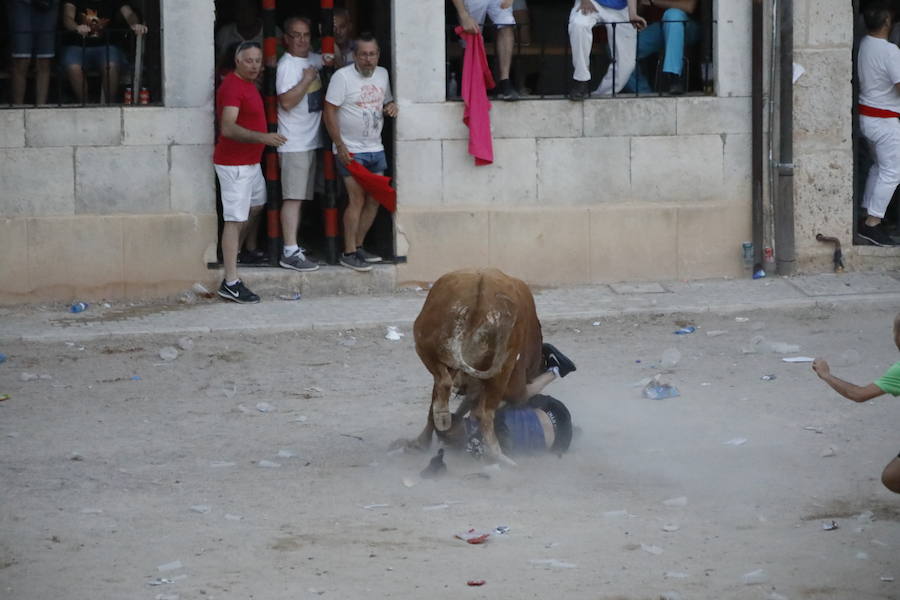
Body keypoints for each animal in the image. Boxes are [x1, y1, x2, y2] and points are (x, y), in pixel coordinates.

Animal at [414, 268, 544, 464]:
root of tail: (481, 290)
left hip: (426, 342)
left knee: (442, 385)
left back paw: (441, 418)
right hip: (503, 365)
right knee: (485, 413)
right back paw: (498, 455)